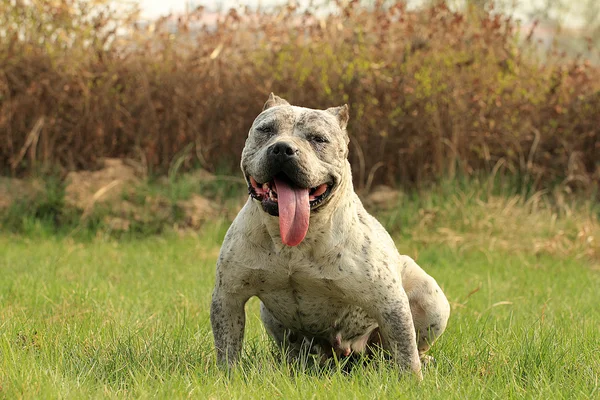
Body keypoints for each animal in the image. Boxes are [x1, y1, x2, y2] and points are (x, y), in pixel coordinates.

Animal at [209, 94, 448, 378]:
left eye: (319, 139)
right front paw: (227, 376)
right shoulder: (228, 295)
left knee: (406, 347)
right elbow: (227, 346)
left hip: (430, 296)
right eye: (266, 130)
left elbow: (405, 348)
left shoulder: (389, 301)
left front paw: (412, 380)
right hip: (270, 315)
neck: (294, 243)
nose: (283, 149)